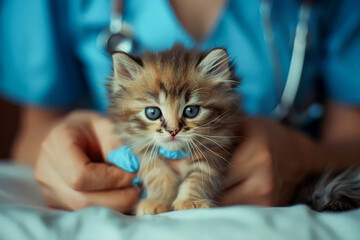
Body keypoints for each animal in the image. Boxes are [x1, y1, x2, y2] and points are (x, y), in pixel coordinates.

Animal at [107, 45, 242, 216]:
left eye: (191, 111)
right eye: (153, 113)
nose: (173, 131)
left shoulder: (217, 146)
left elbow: (199, 176)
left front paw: (190, 201)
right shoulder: (141, 147)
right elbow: (157, 173)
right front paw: (157, 201)